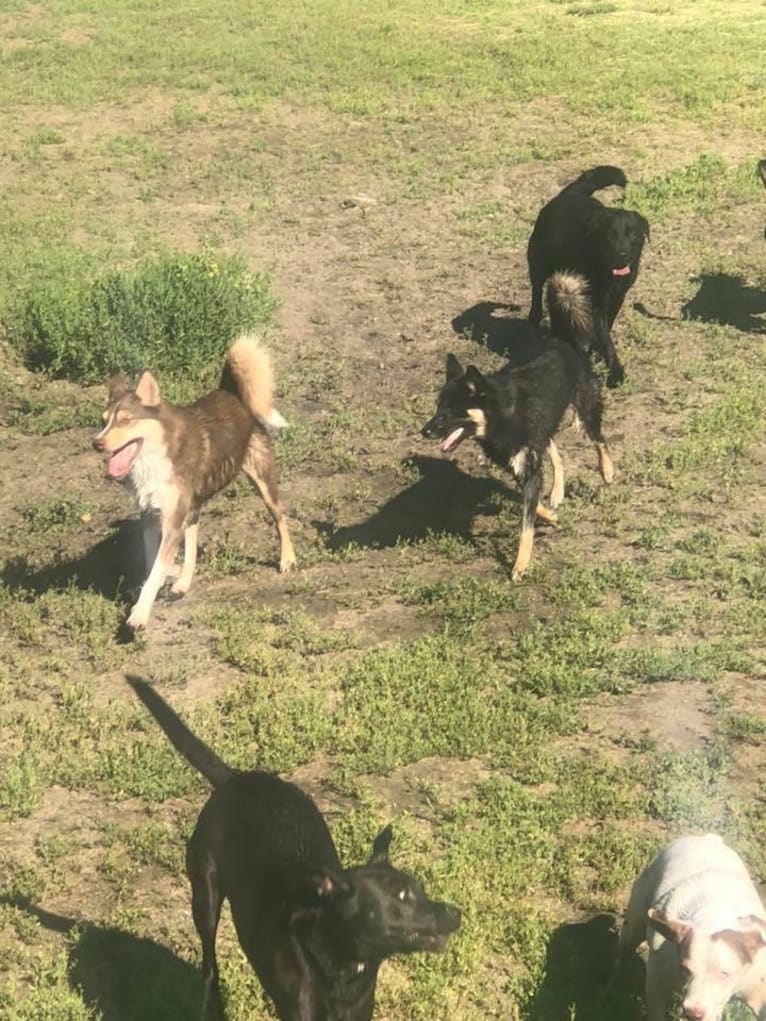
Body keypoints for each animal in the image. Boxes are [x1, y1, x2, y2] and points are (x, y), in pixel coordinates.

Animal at [89, 330, 294, 624]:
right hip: (193, 504)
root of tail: (231, 391)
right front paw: (165, 578)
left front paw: (140, 612)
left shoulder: (171, 521)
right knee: (193, 539)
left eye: (126, 420)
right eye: (103, 421)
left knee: (280, 517)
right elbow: (153, 564)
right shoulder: (151, 517)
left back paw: (287, 558)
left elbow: (156, 570)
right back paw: (183, 581)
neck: (156, 457)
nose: (97, 443)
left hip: (263, 480)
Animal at [126, 677, 461, 1021]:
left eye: (420, 889)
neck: (340, 962)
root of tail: (235, 779)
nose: (456, 913)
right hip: (205, 896)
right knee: (209, 964)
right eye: (402, 896)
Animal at [422, 271, 616, 584]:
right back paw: (557, 492)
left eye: (450, 412)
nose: (424, 431)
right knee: (556, 453)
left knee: (600, 440)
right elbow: (531, 503)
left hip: (585, 408)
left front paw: (520, 565)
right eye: (437, 407)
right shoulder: (518, 465)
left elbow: (526, 525)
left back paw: (607, 470)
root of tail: (560, 339)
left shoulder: (528, 464)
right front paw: (549, 514)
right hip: (543, 427)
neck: (501, 416)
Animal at [527, 165, 649, 387]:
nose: (622, 254)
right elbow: (604, 335)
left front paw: (598, 352)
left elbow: (607, 327)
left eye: (633, 234)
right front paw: (615, 371)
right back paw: (535, 318)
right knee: (537, 290)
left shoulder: (617, 296)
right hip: (538, 263)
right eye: (610, 235)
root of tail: (569, 194)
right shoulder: (595, 301)